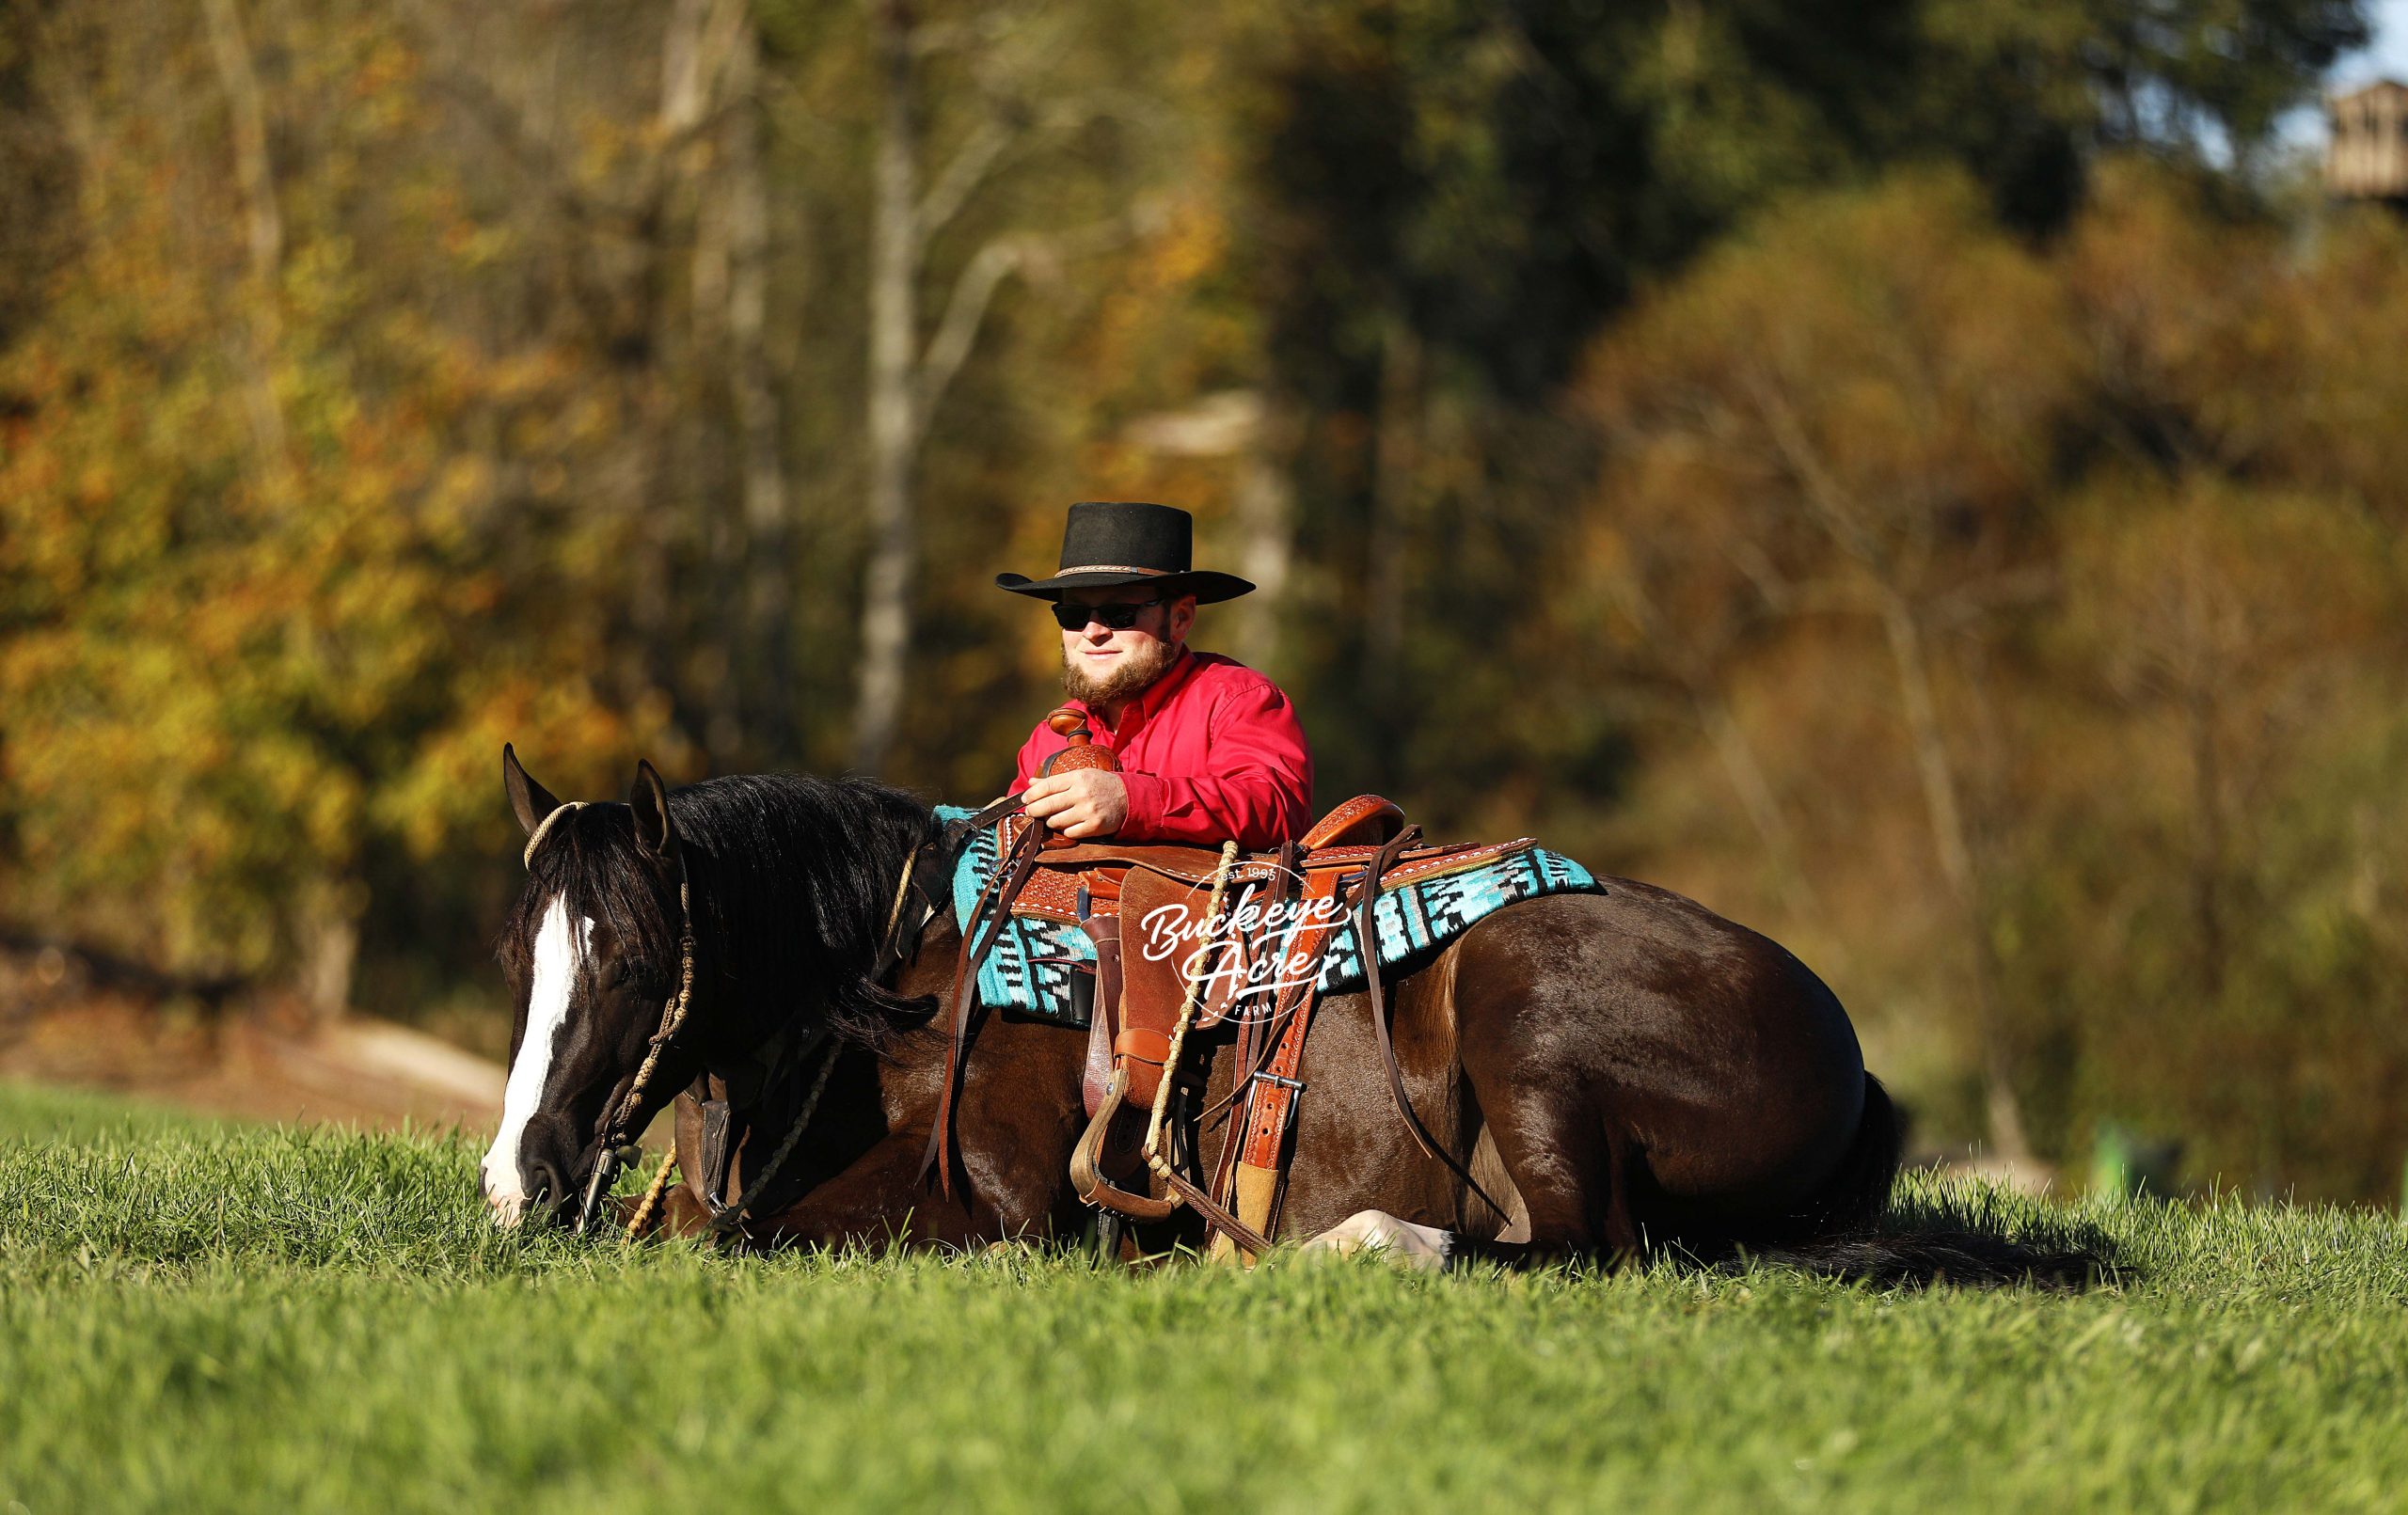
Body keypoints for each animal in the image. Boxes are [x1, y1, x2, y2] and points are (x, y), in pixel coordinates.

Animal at [481, 748, 2097, 1282]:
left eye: (631, 956)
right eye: (520, 954)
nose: (515, 1178)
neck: (902, 980)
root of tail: (1849, 1049)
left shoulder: (998, 1204)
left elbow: (754, 1234)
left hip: (1531, 1022)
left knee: (1585, 1248)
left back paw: (1354, 1244)